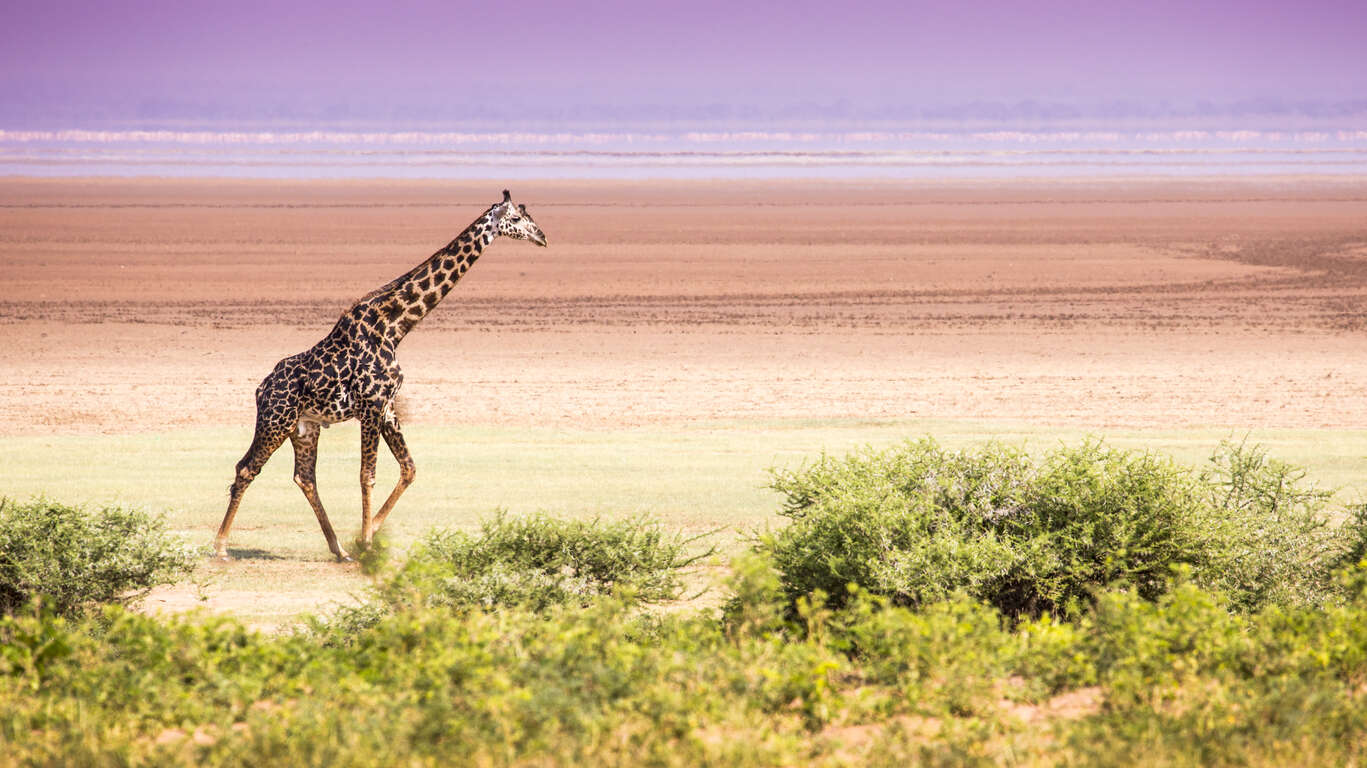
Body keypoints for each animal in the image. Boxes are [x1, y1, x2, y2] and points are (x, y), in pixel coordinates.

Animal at [213, 188, 544, 560]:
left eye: (528, 216)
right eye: (515, 219)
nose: (542, 237)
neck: (396, 326)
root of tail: (261, 389)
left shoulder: (387, 407)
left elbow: (409, 468)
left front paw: (365, 535)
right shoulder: (371, 405)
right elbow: (367, 475)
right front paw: (368, 543)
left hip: (305, 427)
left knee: (305, 477)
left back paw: (339, 548)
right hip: (276, 420)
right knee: (247, 468)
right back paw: (221, 546)